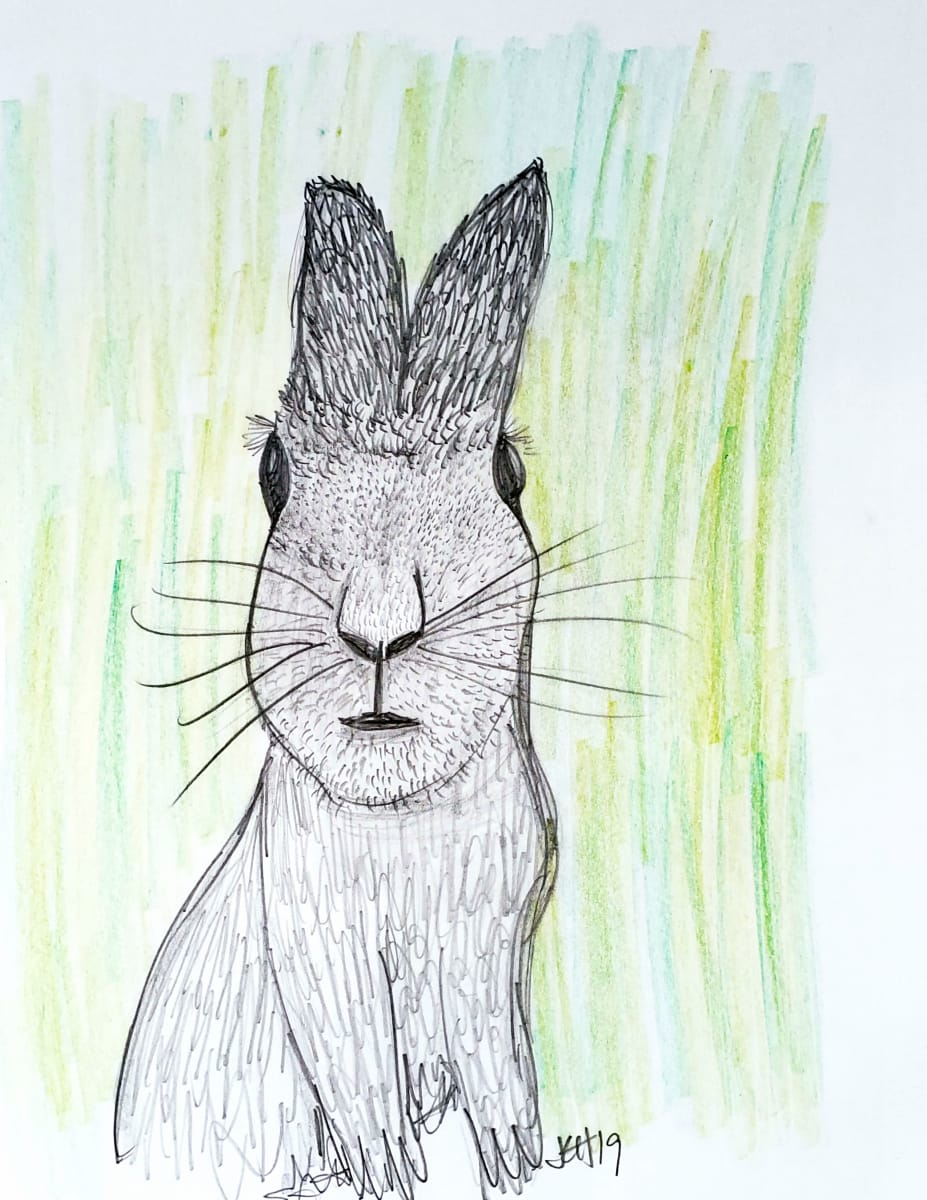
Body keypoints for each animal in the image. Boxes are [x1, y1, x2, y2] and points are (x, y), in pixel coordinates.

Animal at [114, 159, 558, 1200]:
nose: (379, 631)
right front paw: (396, 1180)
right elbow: (366, 1103)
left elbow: (502, 1085)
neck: (401, 818)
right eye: (275, 471)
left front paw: (519, 1166)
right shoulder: (323, 958)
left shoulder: (488, 962)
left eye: (507, 471)